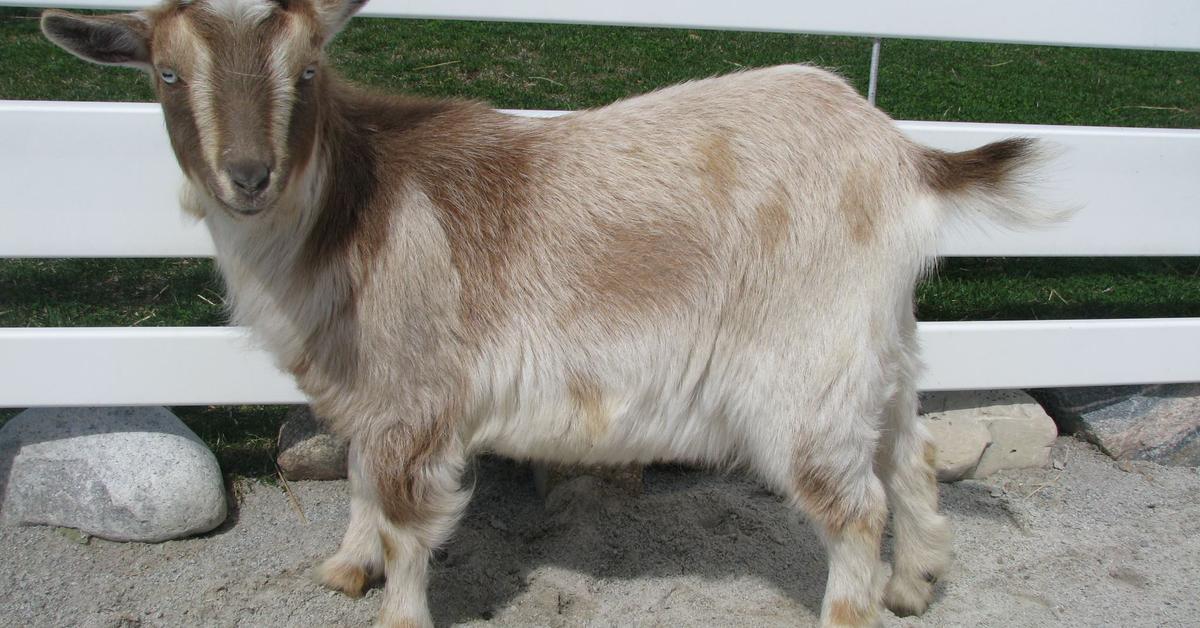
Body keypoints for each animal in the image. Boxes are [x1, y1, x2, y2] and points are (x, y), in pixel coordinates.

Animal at [42, 2, 1065, 624]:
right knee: (911, 458)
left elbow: (406, 516)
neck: (350, 203)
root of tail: (904, 156)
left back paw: (852, 607)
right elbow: (363, 481)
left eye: (306, 69)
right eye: (168, 76)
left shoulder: (416, 388)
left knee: (853, 507)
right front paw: (345, 567)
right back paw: (915, 584)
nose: (249, 176)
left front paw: (395, 605)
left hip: (802, 376)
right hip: (873, 351)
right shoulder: (375, 390)